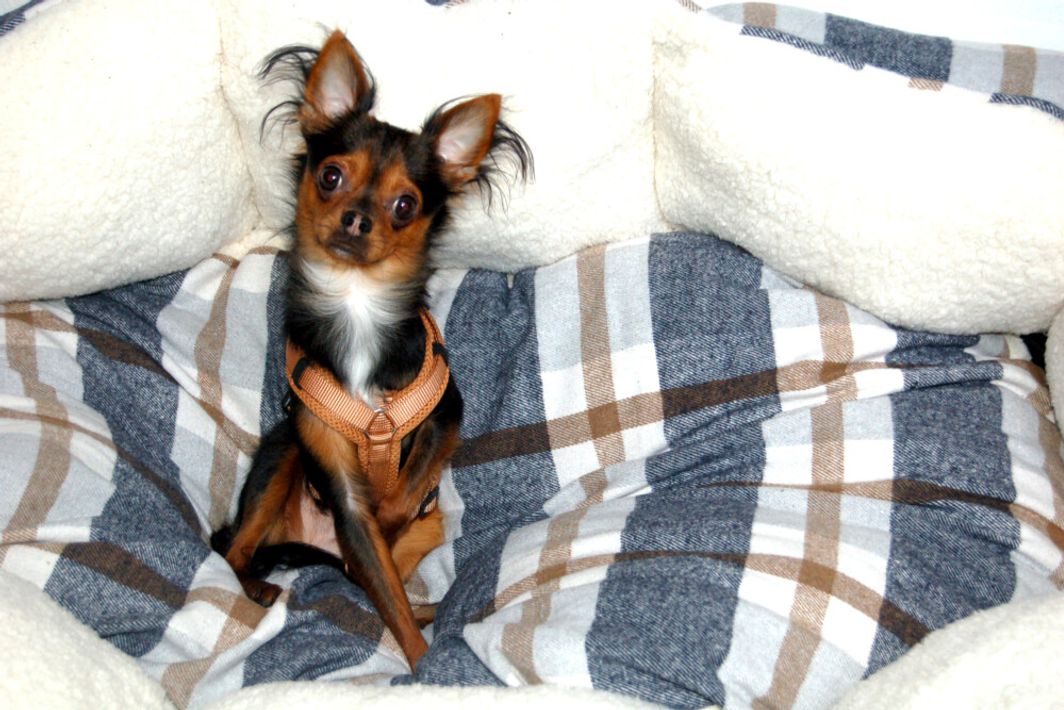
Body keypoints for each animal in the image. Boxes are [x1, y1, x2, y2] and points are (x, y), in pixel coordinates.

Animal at [211, 30, 531, 670]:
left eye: (405, 205)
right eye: (331, 177)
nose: (357, 218)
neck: (357, 302)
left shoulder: (443, 417)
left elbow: (402, 503)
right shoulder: (336, 478)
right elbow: (381, 578)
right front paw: (421, 660)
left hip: (430, 526)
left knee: (380, 575)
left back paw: (432, 608)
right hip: (281, 457)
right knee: (236, 551)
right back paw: (259, 586)